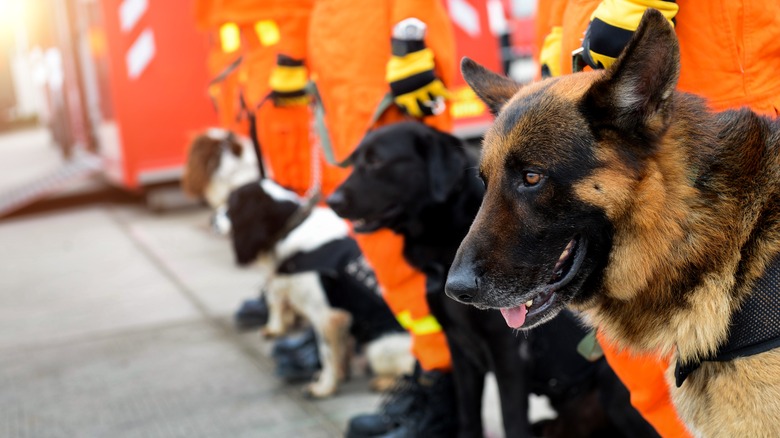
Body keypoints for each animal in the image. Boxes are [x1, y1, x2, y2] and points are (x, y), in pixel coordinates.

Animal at [324, 120, 660, 438]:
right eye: (356, 161)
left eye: (377, 162)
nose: (331, 201)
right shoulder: (460, 350)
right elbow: (468, 415)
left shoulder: (508, 352)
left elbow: (512, 419)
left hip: (616, 394)